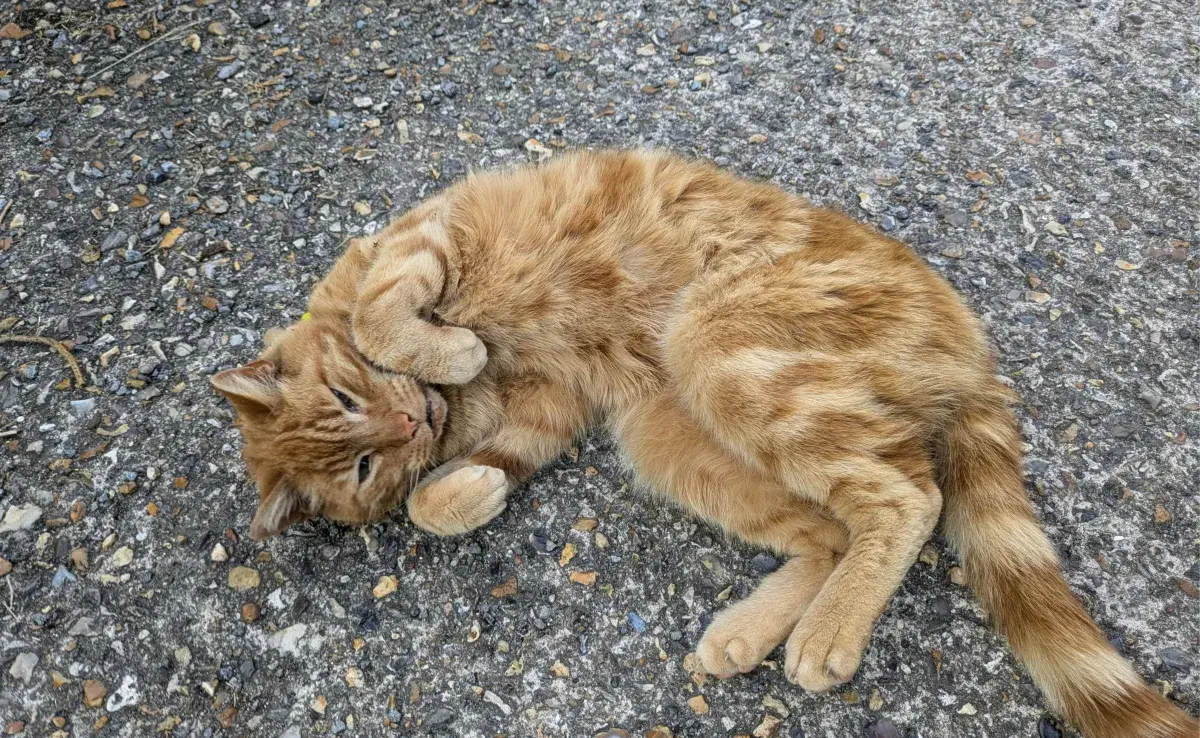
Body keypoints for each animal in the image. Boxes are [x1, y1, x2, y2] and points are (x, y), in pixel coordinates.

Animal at [211, 150, 1195, 738]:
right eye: (363, 462)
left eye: (352, 403)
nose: (410, 425)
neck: (461, 404)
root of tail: (973, 354)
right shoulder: (550, 410)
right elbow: (445, 491)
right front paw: (465, 486)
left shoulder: (424, 239)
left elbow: (388, 315)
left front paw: (442, 349)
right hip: (671, 433)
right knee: (831, 527)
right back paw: (752, 631)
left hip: (720, 347)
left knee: (907, 495)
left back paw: (827, 631)